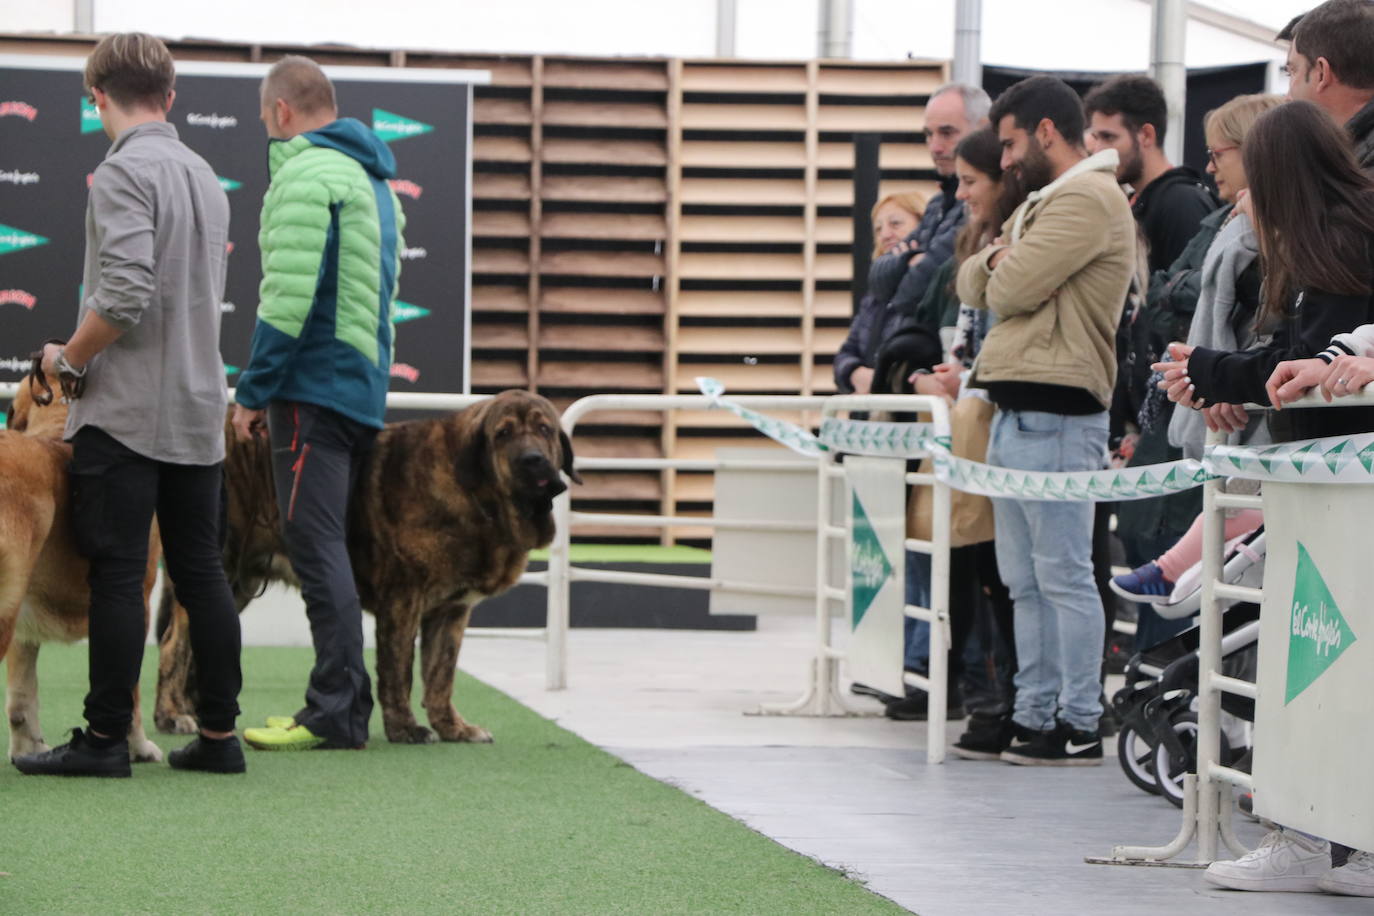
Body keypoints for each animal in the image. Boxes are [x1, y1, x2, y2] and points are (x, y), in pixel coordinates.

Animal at [0, 368, 162, 763]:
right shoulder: (137, 600)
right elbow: (130, 688)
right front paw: (138, 746)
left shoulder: (23, 618)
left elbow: (22, 695)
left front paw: (28, 750)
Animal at [158, 392, 577, 747]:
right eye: (503, 433)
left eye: (544, 430)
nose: (532, 459)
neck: (474, 493)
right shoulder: (403, 598)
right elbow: (399, 670)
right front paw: (405, 729)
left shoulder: (452, 610)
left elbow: (441, 676)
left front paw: (453, 728)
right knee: (173, 643)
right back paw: (172, 715)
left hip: (237, 584)